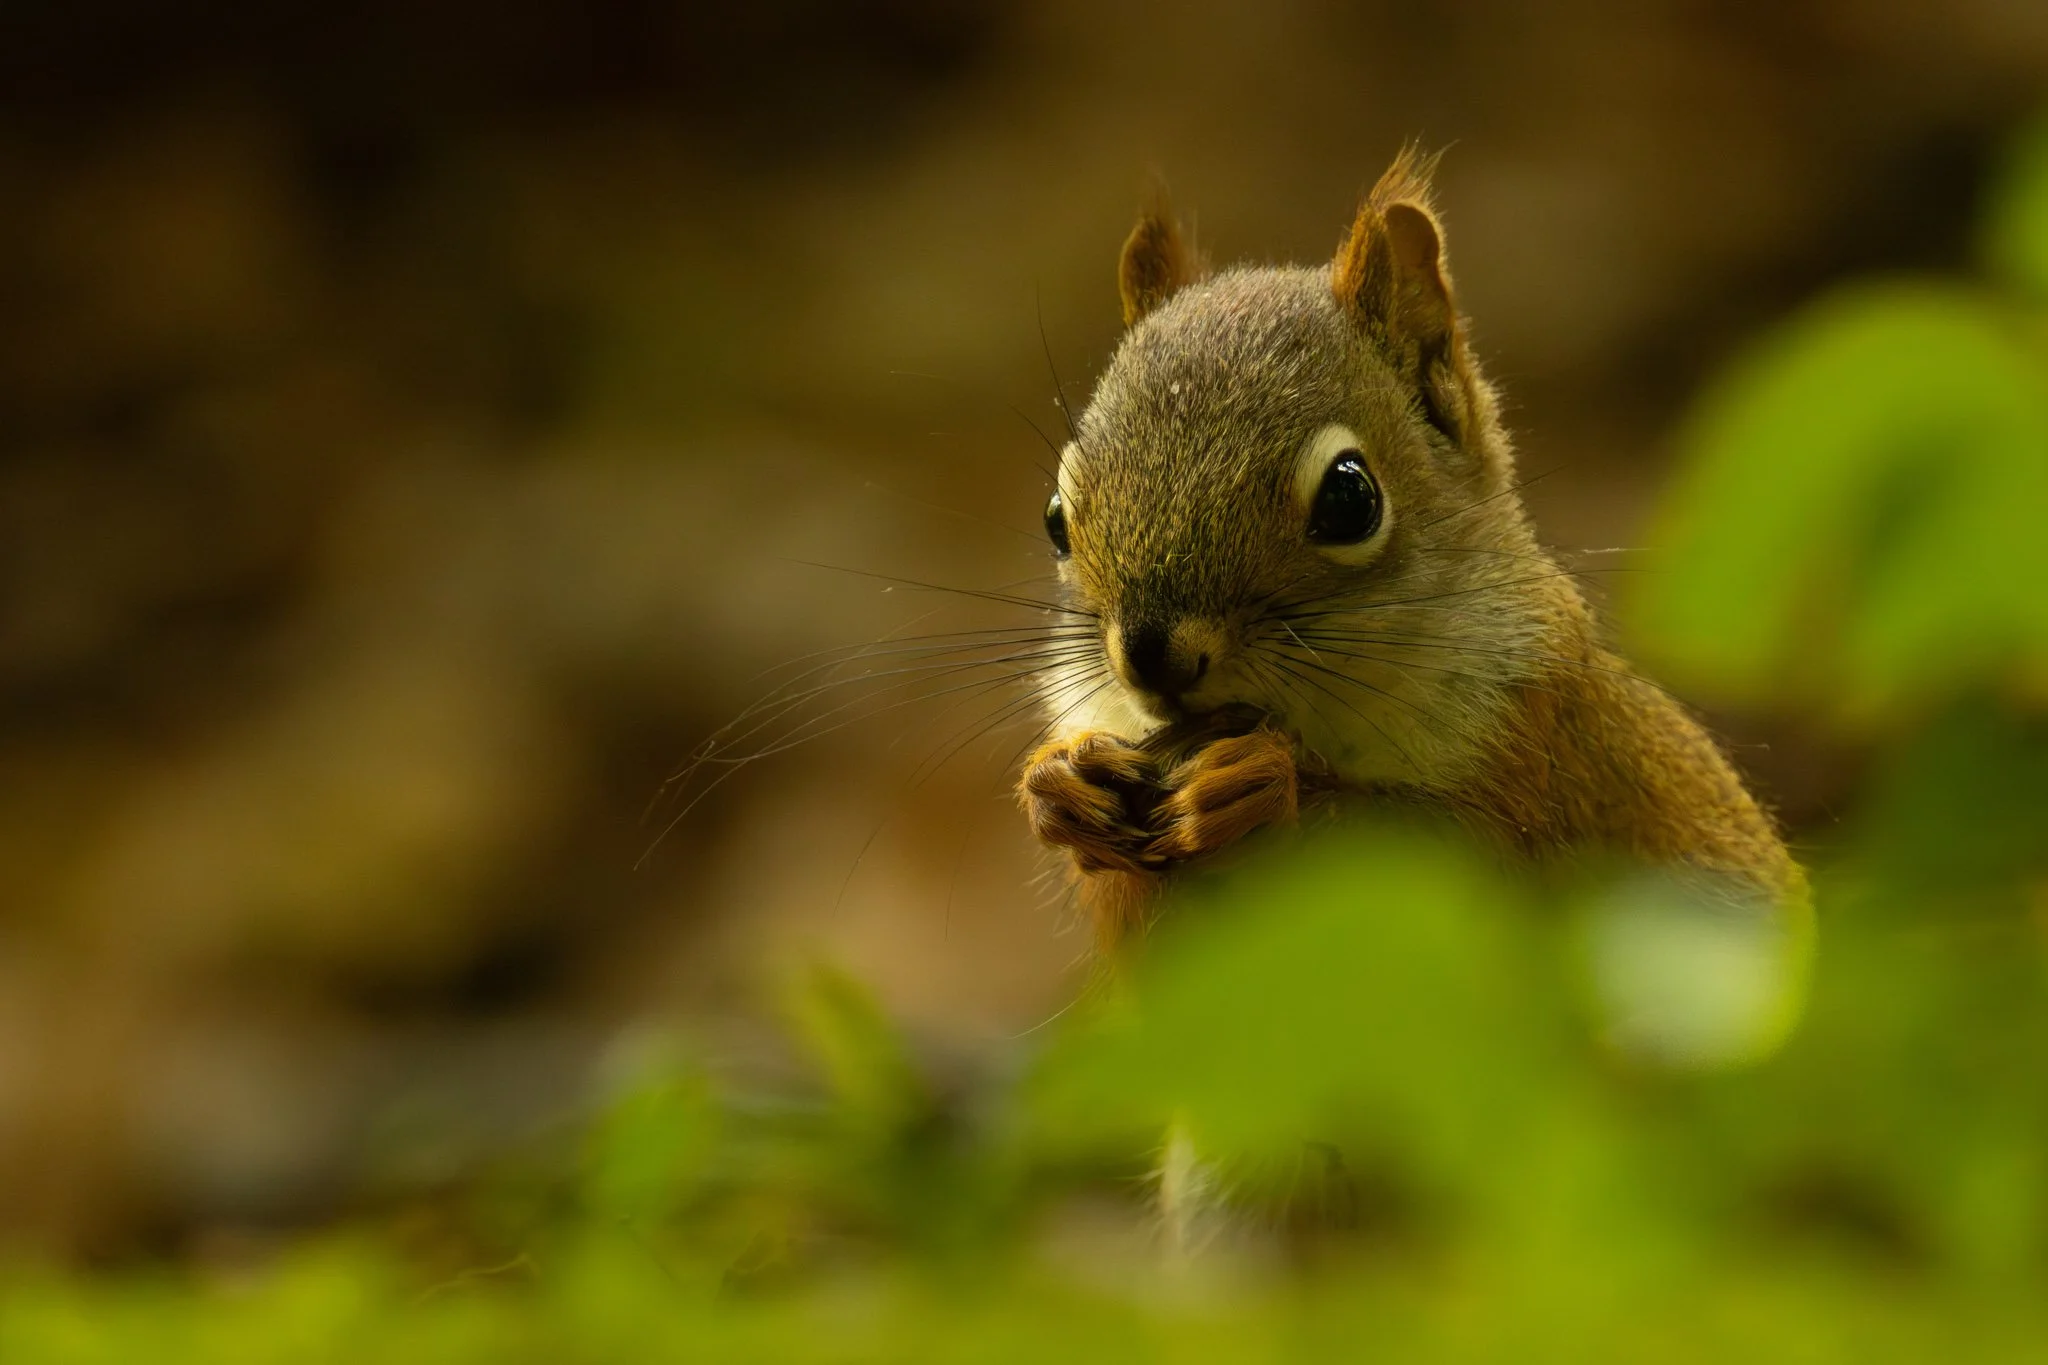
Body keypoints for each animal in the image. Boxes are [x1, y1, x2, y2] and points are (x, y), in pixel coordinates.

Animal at [1017, 150, 1805, 953]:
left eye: (1349, 499)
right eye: (1055, 518)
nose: (1152, 656)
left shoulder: (1535, 742)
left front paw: (1265, 787)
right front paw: (1058, 787)